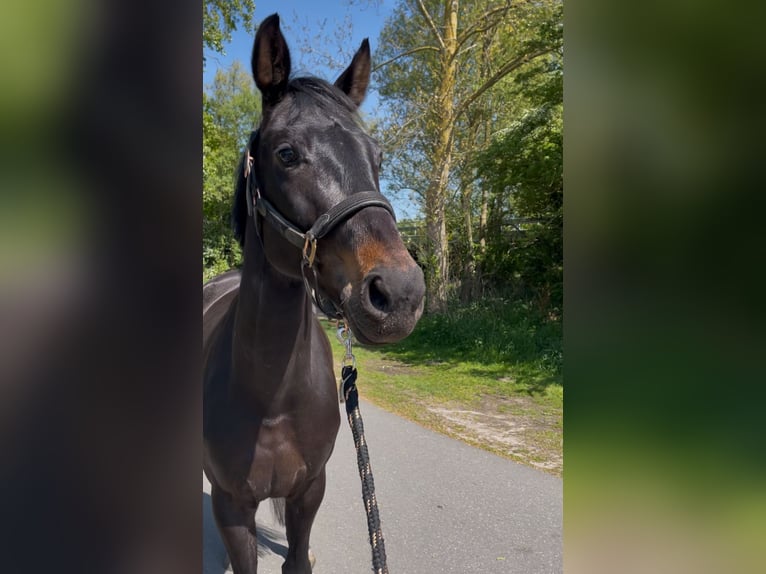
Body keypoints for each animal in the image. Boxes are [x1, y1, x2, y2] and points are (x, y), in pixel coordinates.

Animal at [203, 14, 425, 574]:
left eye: (377, 157)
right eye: (286, 153)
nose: (400, 294)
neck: (272, 398)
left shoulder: (310, 490)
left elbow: (297, 558)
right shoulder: (230, 505)